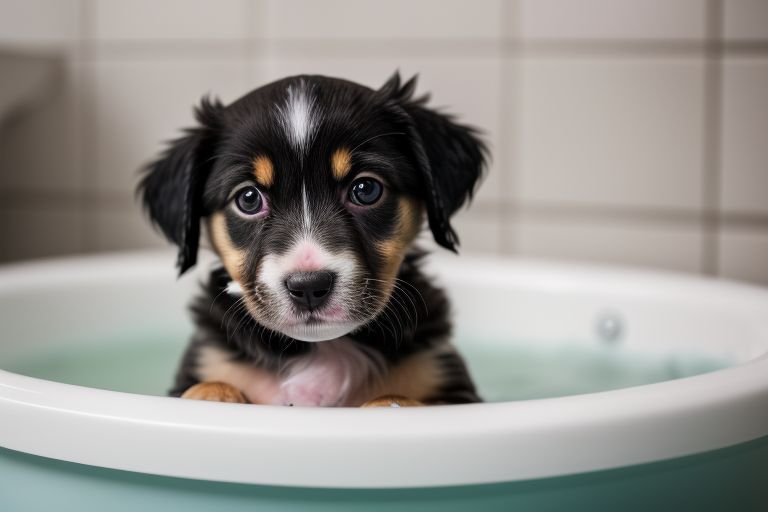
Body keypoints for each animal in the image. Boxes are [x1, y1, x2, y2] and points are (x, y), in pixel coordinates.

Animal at [140, 72, 486, 408]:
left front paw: (388, 403)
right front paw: (213, 395)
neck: (324, 349)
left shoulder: (444, 379)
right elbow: (211, 384)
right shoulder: (211, 360)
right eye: (248, 198)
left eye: (366, 189)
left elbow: (395, 398)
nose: (308, 286)